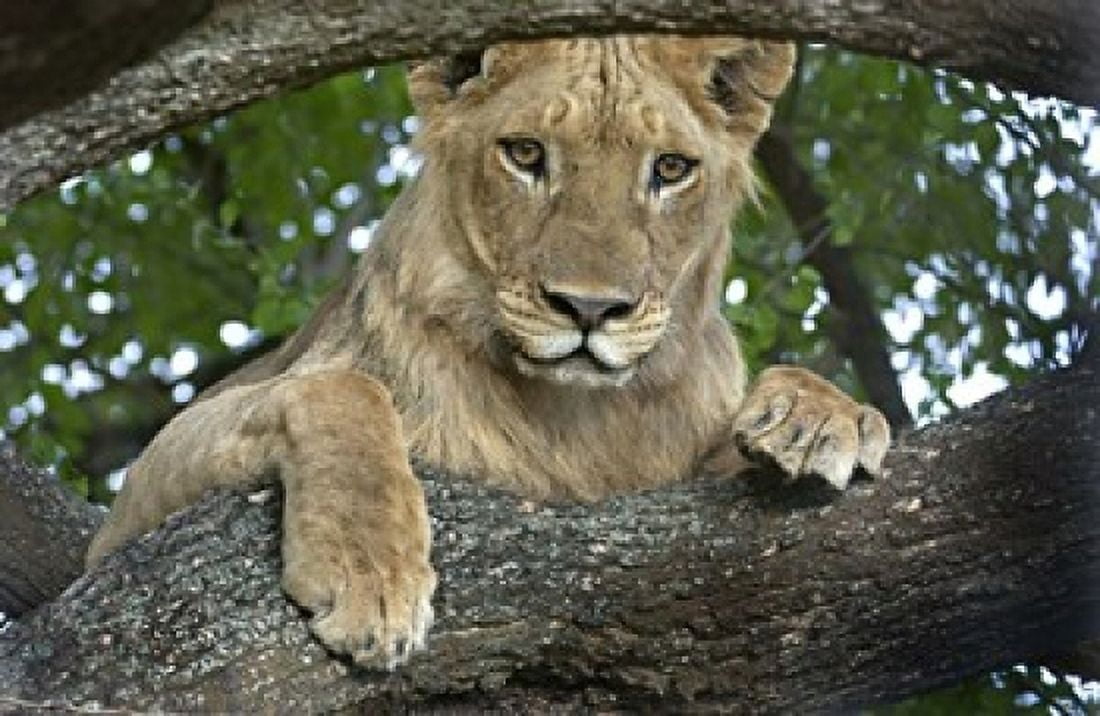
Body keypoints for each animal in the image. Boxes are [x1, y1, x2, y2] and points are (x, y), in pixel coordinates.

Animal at [86, 36, 890, 670]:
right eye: (526, 154)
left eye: (669, 170)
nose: (590, 309)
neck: (577, 415)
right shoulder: (118, 529)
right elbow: (342, 389)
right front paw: (369, 575)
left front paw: (820, 416)